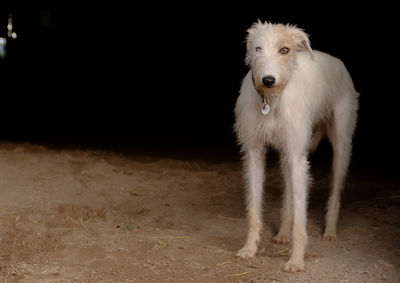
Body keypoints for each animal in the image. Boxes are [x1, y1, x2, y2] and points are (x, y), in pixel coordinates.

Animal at [234, 21, 360, 272]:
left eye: (285, 50)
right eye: (257, 48)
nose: (268, 80)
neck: (271, 100)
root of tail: (337, 61)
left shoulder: (299, 158)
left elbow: (301, 215)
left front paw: (296, 260)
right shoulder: (254, 152)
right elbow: (254, 207)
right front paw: (249, 248)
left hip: (341, 144)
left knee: (335, 189)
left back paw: (330, 230)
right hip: (286, 155)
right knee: (288, 190)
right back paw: (283, 231)